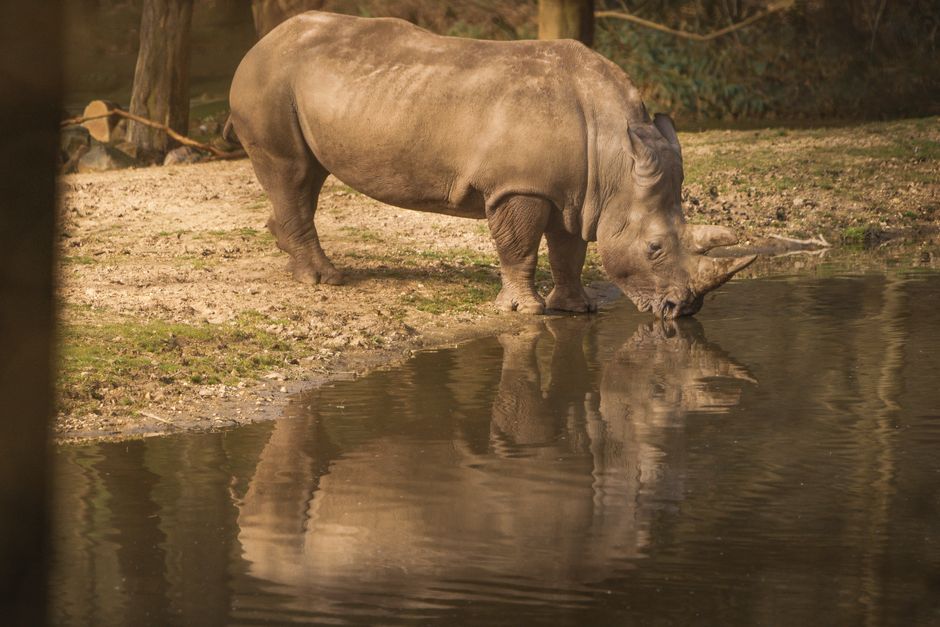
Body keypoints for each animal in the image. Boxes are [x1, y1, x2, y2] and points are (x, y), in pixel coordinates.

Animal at [227, 11, 755, 318]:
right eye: (654, 249)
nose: (683, 310)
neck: (614, 160)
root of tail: (261, 42)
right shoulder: (519, 184)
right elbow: (518, 247)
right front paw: (525, 311)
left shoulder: (575, 192)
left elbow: (568, 250)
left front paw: (577, 309)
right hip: (269, 79)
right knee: (293, 172)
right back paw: (324, 280)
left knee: (308, 177)